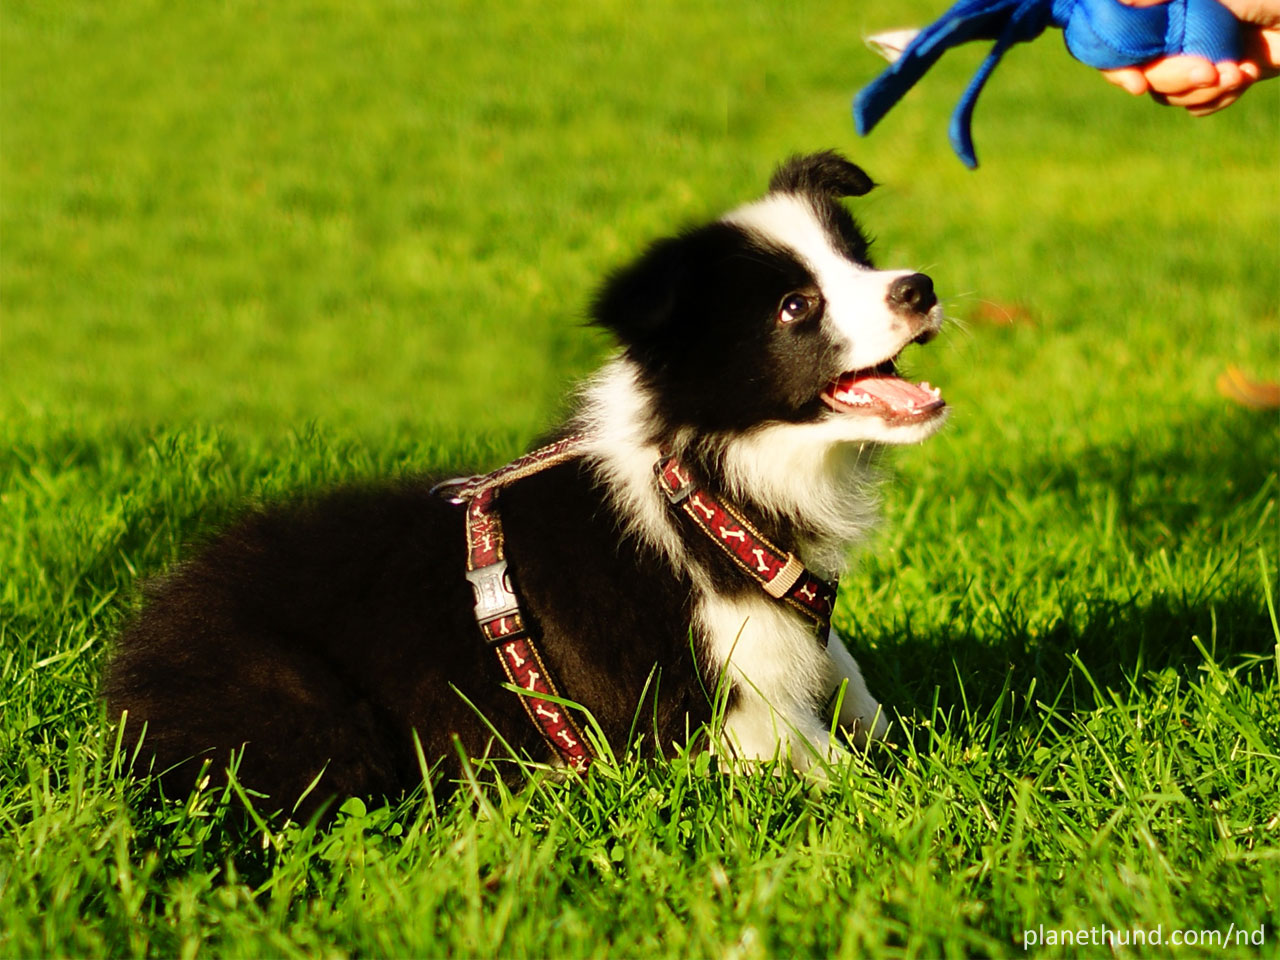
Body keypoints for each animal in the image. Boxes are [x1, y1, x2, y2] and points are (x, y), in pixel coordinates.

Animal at [104, 152, 947, 819]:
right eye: (796, 306)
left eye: (861, 259)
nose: (920, 287)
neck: (702, 480)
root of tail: (132, 660)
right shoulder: (712, 707)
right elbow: (836, 766)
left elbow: (852, 682)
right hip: (305, 710)